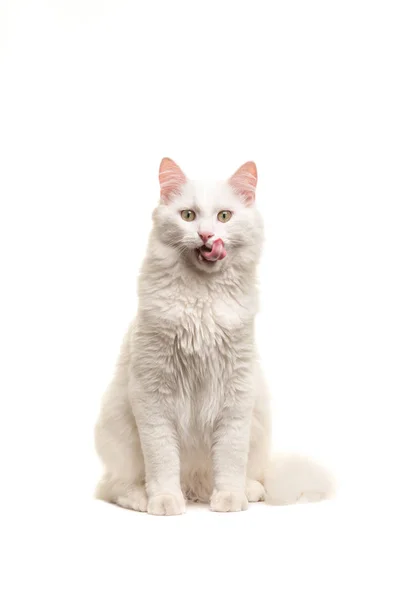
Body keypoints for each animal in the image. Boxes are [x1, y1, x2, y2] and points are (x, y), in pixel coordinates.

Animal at [95, 159, 332, 516]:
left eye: (223, 216)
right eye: (187, 215)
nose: (206, 235)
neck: (201, 300)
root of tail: (195, 484)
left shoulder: (236, 390)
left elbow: (230, 458)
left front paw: (230, 499)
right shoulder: (152, 393)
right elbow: (162, 460)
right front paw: (165, 501)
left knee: (246, 472)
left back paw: (248, 491)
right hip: (118, 427)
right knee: (115, 486)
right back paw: (142, 498)